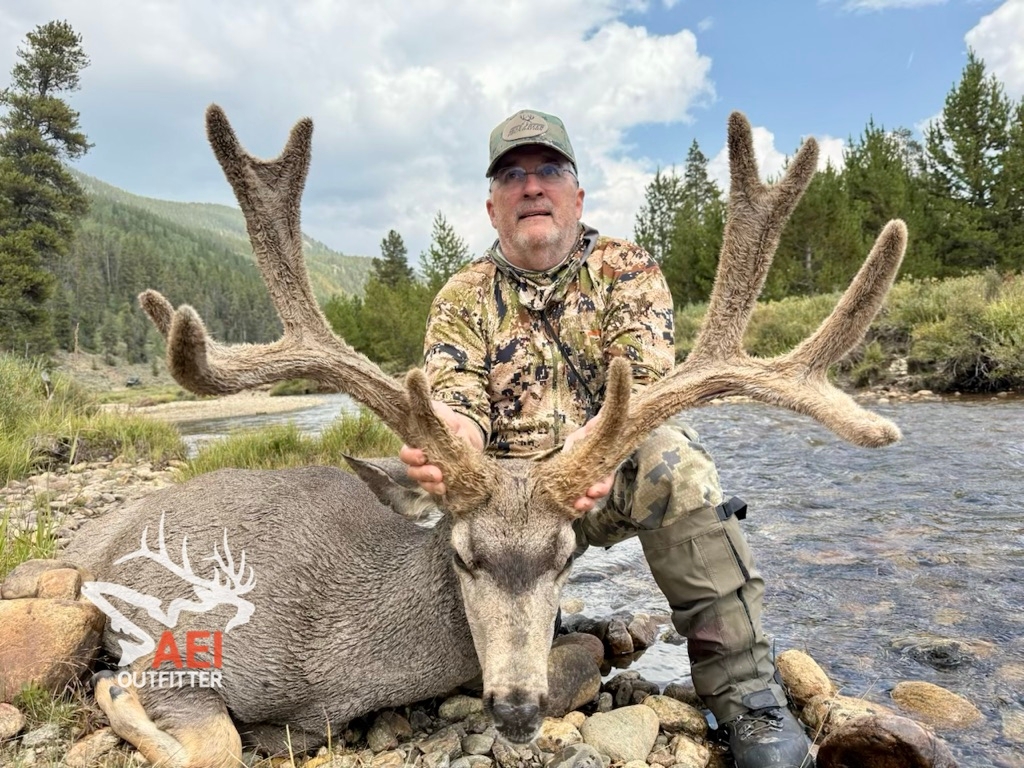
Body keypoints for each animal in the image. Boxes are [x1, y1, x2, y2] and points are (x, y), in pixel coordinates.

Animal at [10, 105, 906, 768]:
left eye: (564, 556)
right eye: (462, 554)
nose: (514, 706)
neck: (335, 665)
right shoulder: (180, 646)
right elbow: (209, 744)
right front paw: (118, 692)